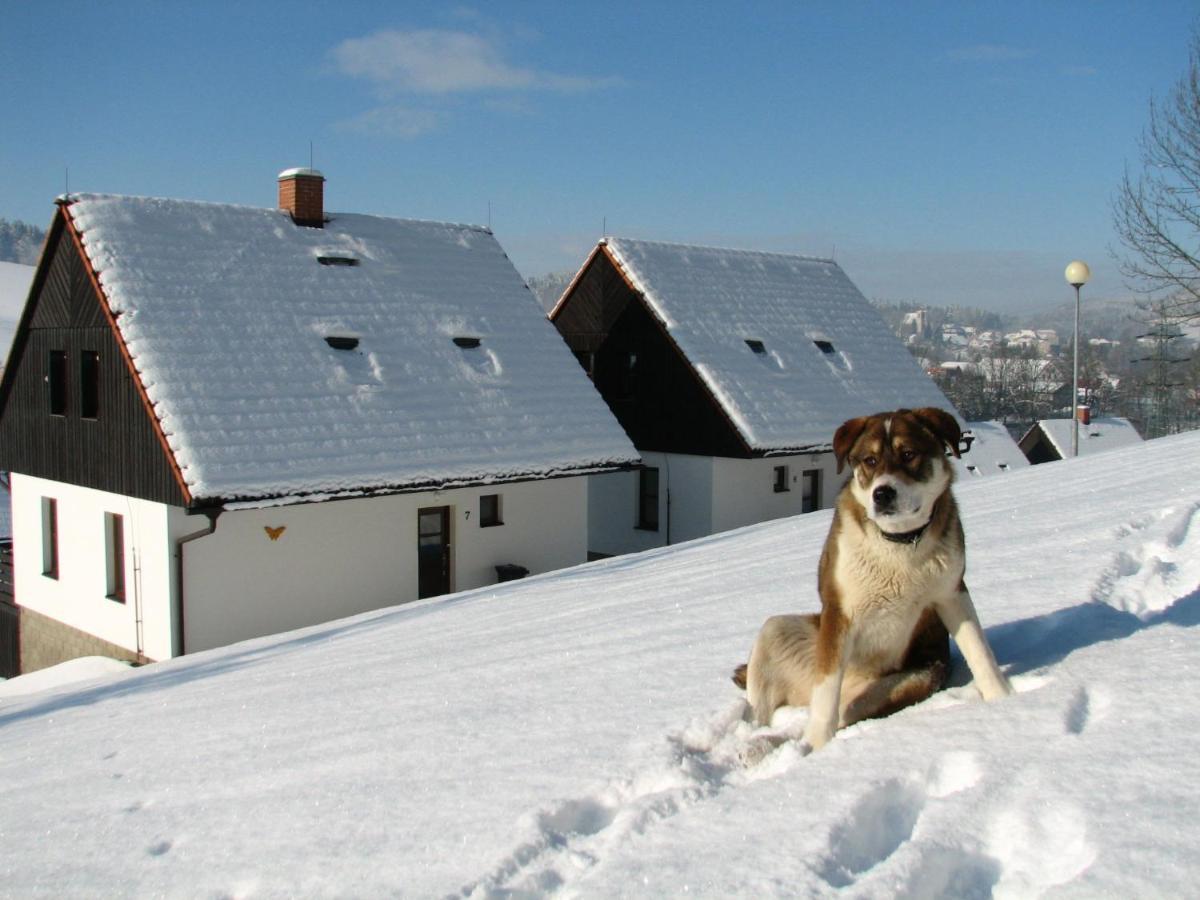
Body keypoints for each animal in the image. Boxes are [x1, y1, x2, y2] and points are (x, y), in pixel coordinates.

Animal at [729, 408, 1012, 753]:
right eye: (870, 460)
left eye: (909, 454)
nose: (883, 493)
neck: (898, 542)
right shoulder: (839, 614)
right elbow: (825, 694)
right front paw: (817, 744)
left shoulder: (952, 594)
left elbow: (980, 652)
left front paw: (1003, 699)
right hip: (781, 632)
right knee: (770, 710)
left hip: (905, 682)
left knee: (838, 714)